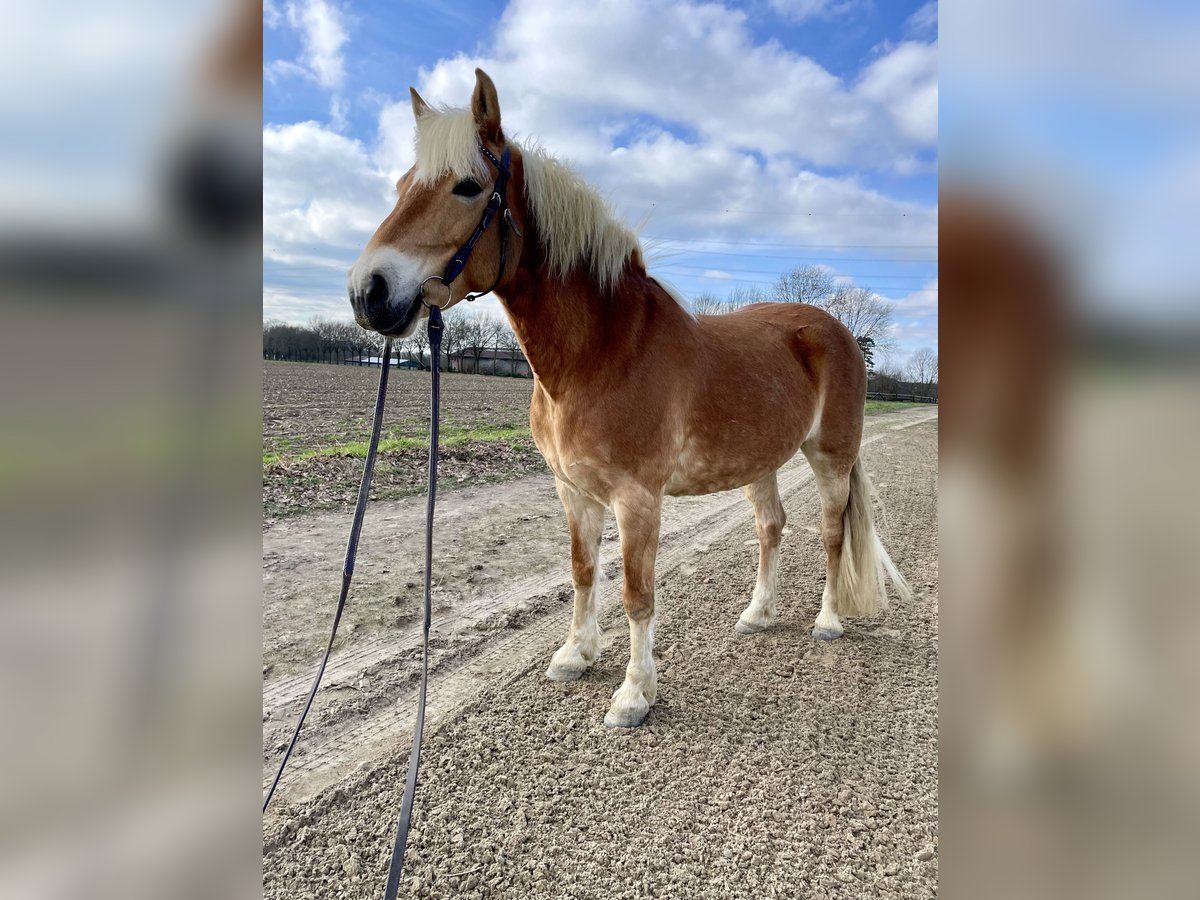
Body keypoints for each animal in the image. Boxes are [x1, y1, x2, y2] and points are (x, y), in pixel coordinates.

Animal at [348, 72, 907, 734]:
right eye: (401, 186)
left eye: (467, 186)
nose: (369, 292)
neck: (603, 353)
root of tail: (833, 330)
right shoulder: (574, 491)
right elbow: (584, 571)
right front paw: (575, 655)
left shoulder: (637, 499)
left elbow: (638, 594)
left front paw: (634, 693)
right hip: (760, 460)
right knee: (771, 527)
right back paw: (757, 614)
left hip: (830, 459)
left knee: (830, 534)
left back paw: (827, 621)